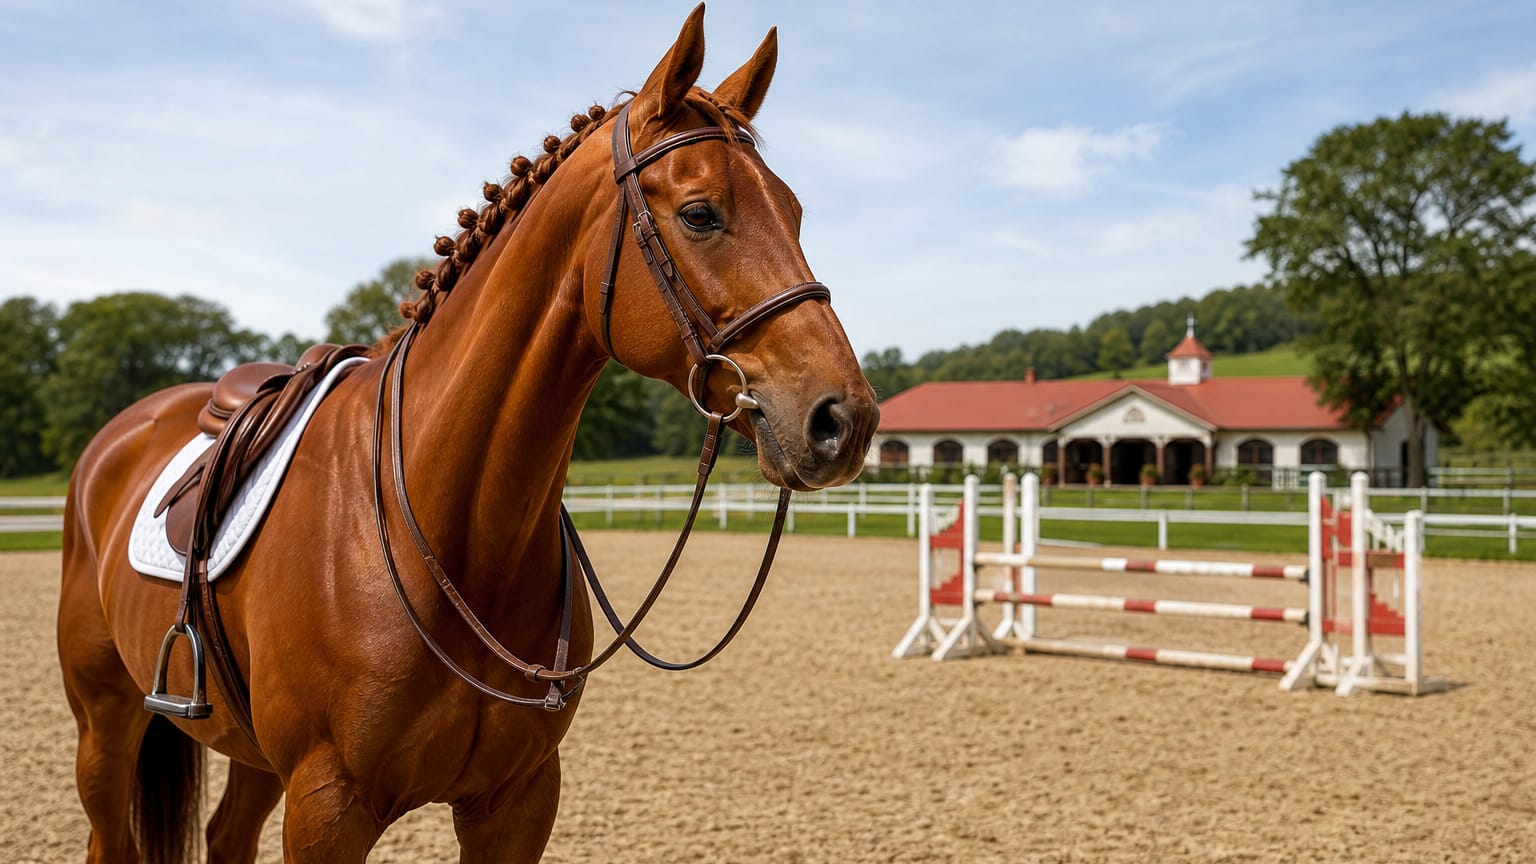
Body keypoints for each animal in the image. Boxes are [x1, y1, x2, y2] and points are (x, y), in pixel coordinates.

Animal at [56, 6, 878, 861]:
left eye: (795, 213)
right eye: (700, 213)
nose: (842, 418)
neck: (454, 533)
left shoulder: (515, 802)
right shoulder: (326, 808)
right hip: (104, 722)